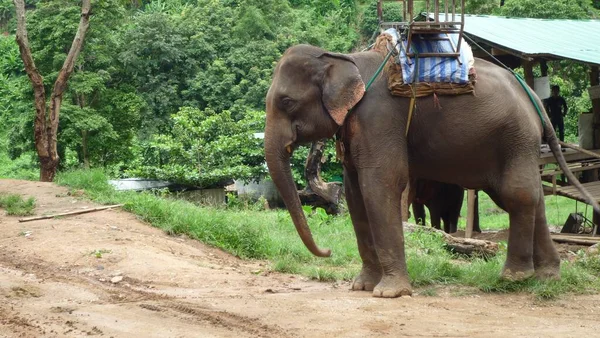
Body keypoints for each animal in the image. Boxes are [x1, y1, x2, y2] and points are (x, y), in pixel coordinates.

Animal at [264, 43, 600, 298]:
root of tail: (533, 99)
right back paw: (546, 278)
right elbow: (355, 193)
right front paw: (362, 287)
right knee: (530, 197)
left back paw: (512, 278)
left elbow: (380, 184)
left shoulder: (379, 119)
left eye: (287, 101)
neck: (343, 59)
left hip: (514, 137)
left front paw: (389, 293)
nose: (329, 251)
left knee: (517, 194)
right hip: (515, 144)